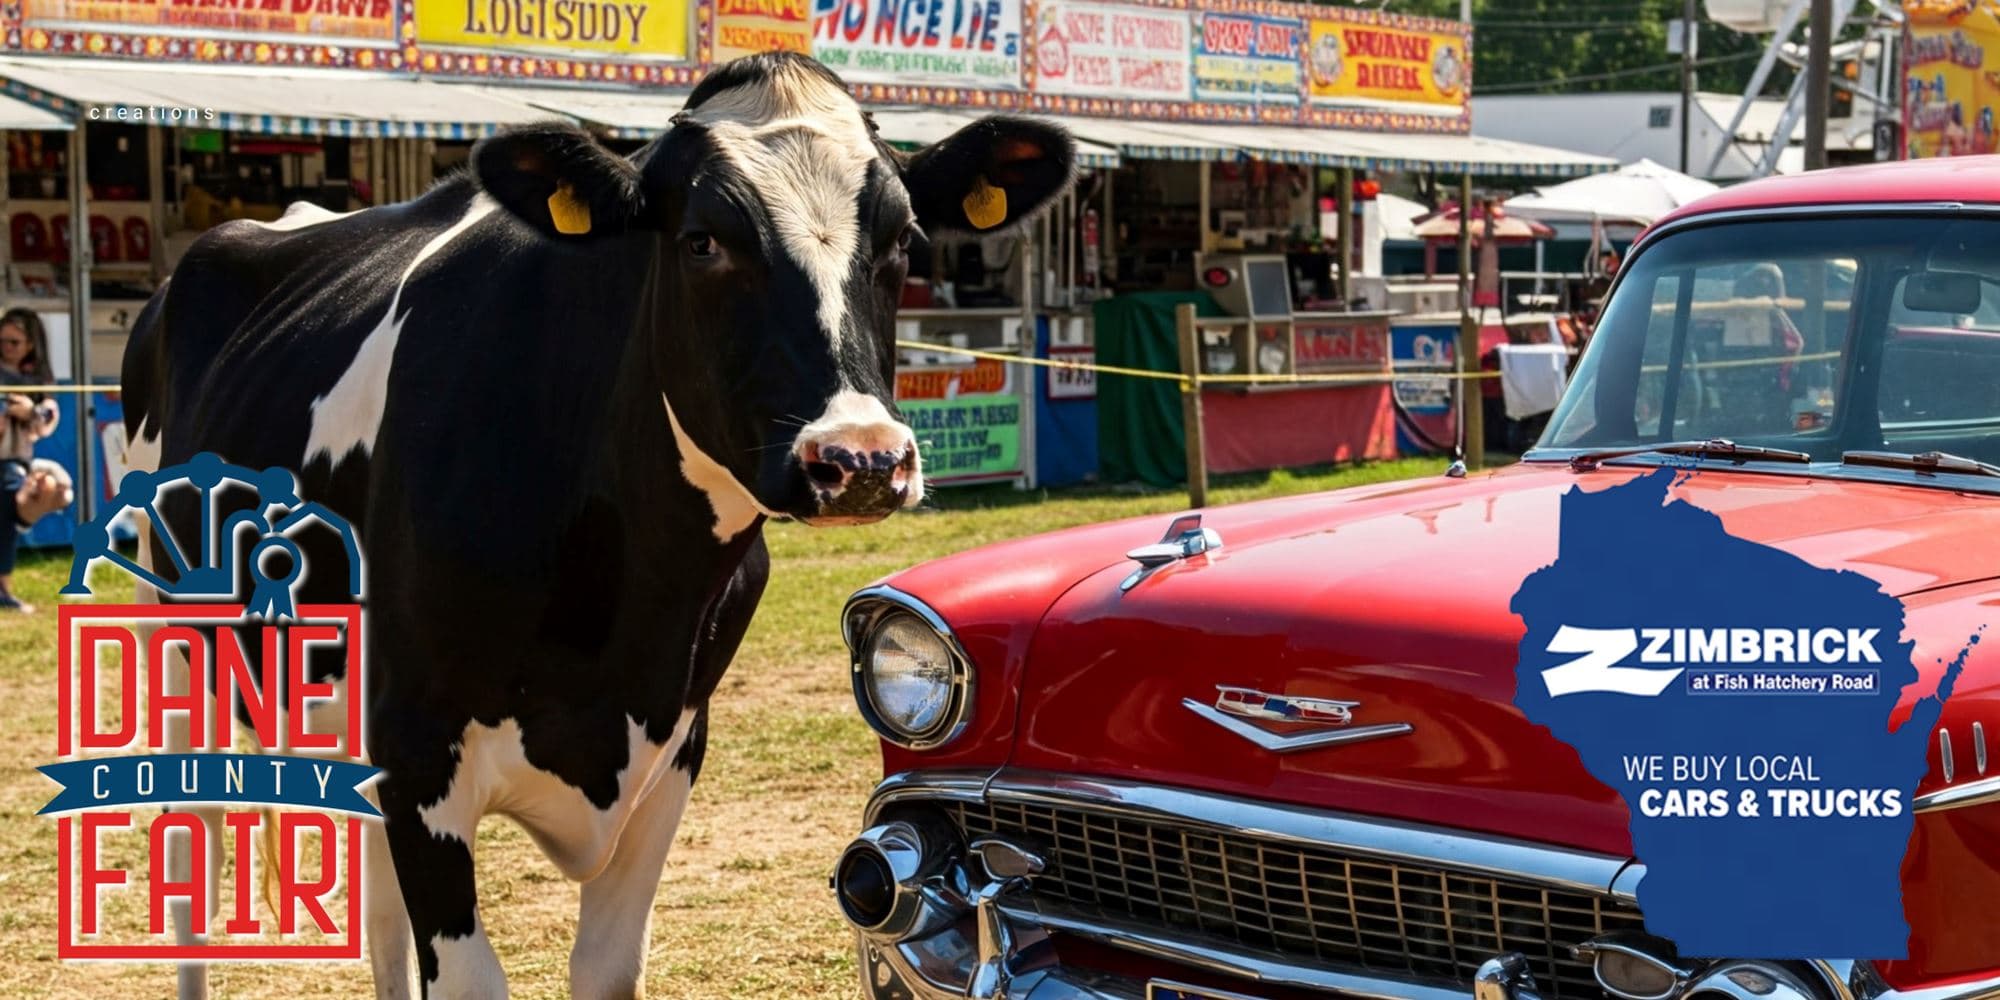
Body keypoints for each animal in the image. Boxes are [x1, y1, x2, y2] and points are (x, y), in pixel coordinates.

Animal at [115, 51, 1075, 999]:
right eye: (702, 240)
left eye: (903, 242)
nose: (863, 459)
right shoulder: (418, 748)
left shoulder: (671, 747)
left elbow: (605, 968)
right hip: (180, 651)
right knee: (192, 861)